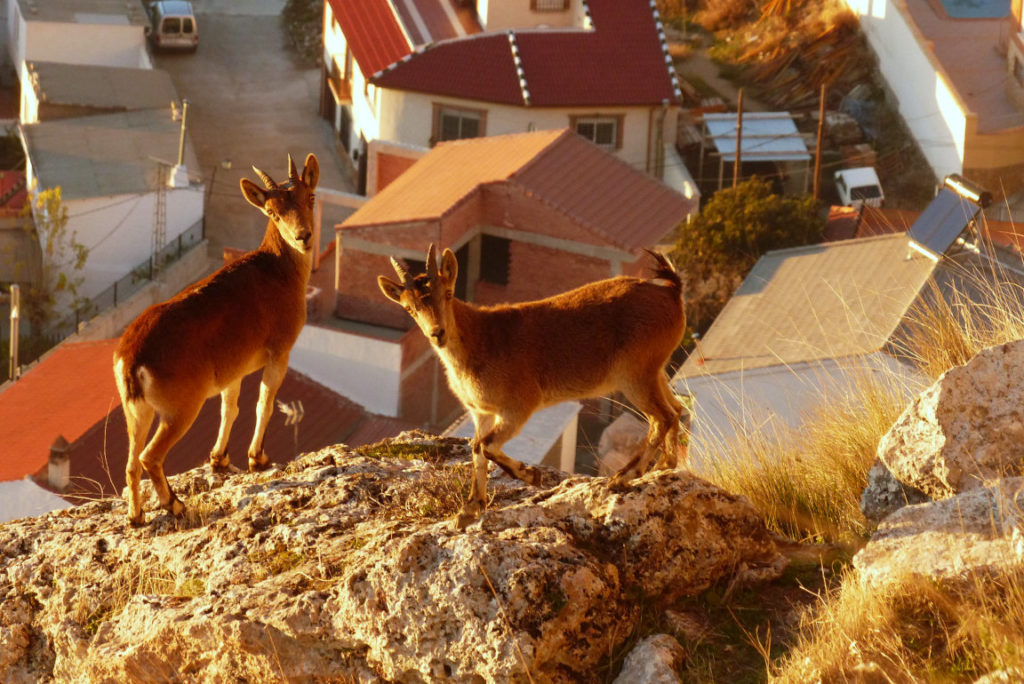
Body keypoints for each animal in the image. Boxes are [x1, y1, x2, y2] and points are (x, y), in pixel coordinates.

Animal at [113, 152, 317, 524]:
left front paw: (219, 458)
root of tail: (131, 359)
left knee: (131, 463)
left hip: (135, 411)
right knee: (150, 456)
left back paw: (136, 516)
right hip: (181, 408)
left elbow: (230, 408)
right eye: (273, 212)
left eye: (309, 197)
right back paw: (174, 504)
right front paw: (258, 458)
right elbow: (264, 402)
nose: (303, 237)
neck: (279, 271)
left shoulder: (232, 371)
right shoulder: (280, 351)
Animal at [378, 245, 688, 528]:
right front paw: (470, 509)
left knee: (661, 417)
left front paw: (531, 475)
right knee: (676, 409)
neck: (479, 339)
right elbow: (477, 448)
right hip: (654, 371)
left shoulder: (518, 407)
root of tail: (671, 293)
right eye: (410, 308)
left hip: (635, 375)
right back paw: (665, 465)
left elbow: (487, 446)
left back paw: (624, 476)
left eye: (448, 293)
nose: (437, 334)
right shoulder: (481, 412)